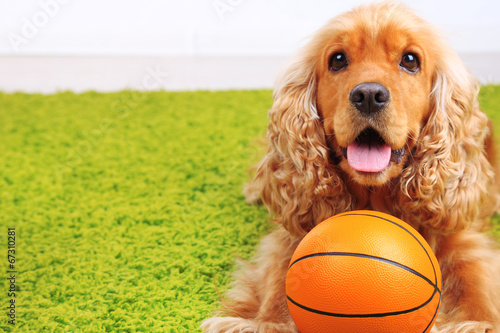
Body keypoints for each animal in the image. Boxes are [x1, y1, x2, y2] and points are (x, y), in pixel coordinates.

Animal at [202, 2, 500, 332]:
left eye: (410, 60)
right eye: (338, 60)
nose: (369, 95)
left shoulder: (463, 237)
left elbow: (475, 279)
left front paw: (477, 322)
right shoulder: (291, 236)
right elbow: (279, 278)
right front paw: (266, 322)